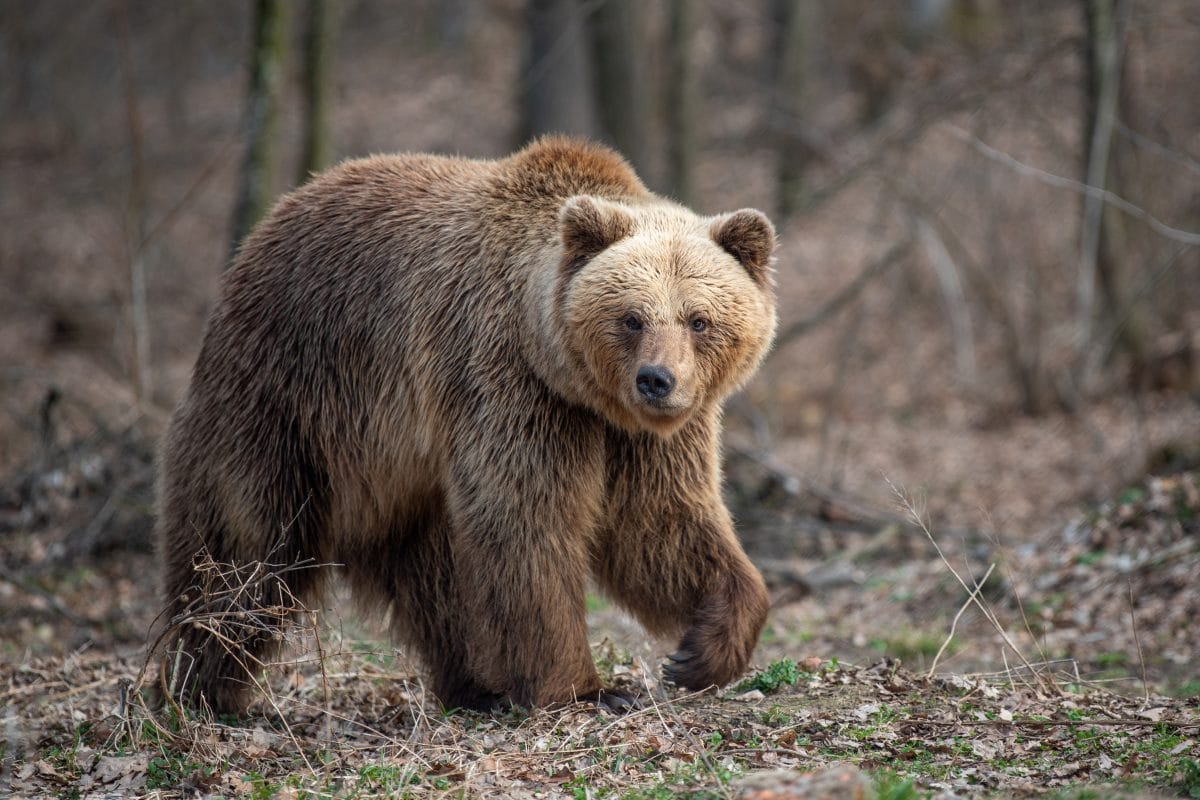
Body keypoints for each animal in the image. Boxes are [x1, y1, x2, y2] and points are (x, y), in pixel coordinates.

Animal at [154, 136, 777, 714]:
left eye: (698, 319)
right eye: (631, 318)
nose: (656, 380)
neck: (569, 376)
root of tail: (257, 239)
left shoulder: (637, 435)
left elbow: (661, 524)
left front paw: (701, 651)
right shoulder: (505, 380)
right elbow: (526, 522)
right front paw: (589, 690)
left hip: (398, 470)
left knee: (435, 577)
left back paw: (476, 686)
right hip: (284, 400)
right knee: (246, 553)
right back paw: (198, 688)